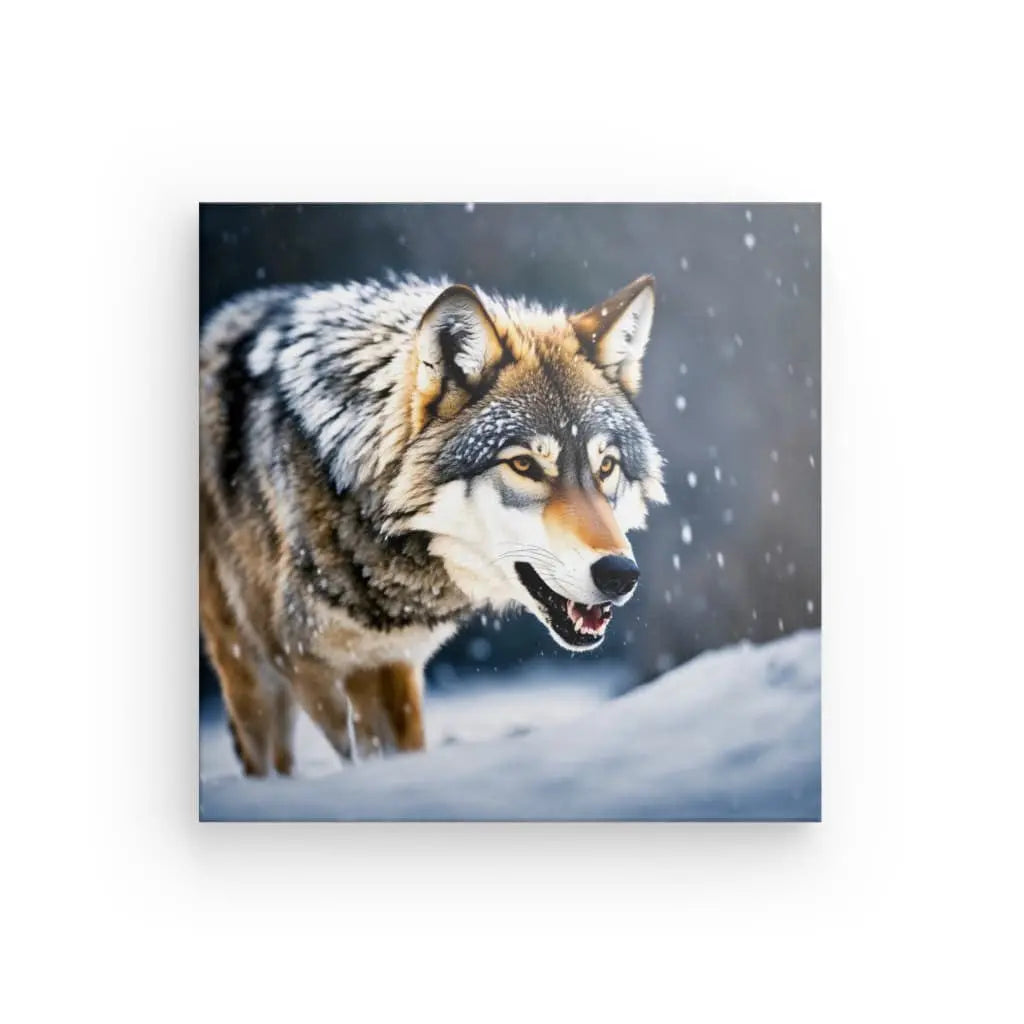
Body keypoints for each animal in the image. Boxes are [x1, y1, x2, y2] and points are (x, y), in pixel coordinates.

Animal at [200, 273, 666, 774]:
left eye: (606, 467)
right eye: (524, 465)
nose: (620, 575)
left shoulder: (392, 662)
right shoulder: (307, 665)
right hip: (250, 672)